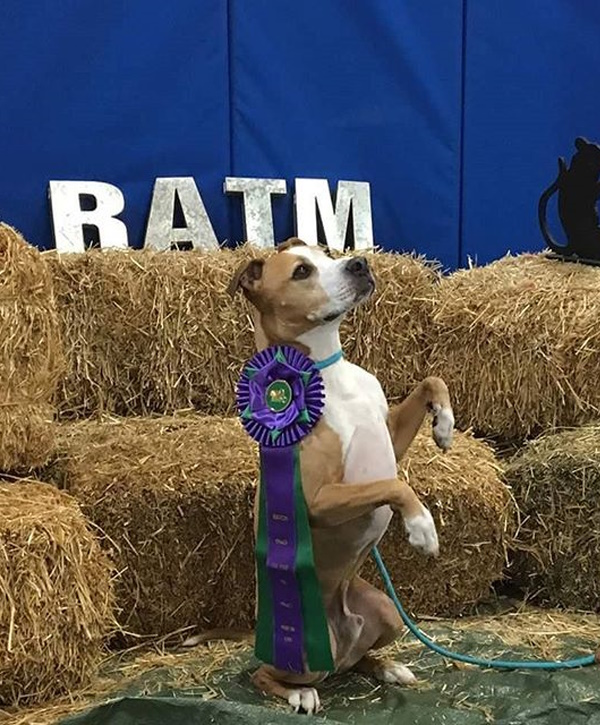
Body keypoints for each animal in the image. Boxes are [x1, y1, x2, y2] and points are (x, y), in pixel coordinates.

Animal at [227, 239, 452, 712]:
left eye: (325, 253)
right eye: (301, 272)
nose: (360, 263)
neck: (328, 372)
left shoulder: (390, 437)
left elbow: (431, 380)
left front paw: (444, 424)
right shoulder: (318, 500)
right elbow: (393, 484)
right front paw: (421, 527)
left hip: (386, 611)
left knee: (357, 660)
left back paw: (387, 667)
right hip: (304, 651)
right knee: (264, 676)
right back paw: (300, 695)